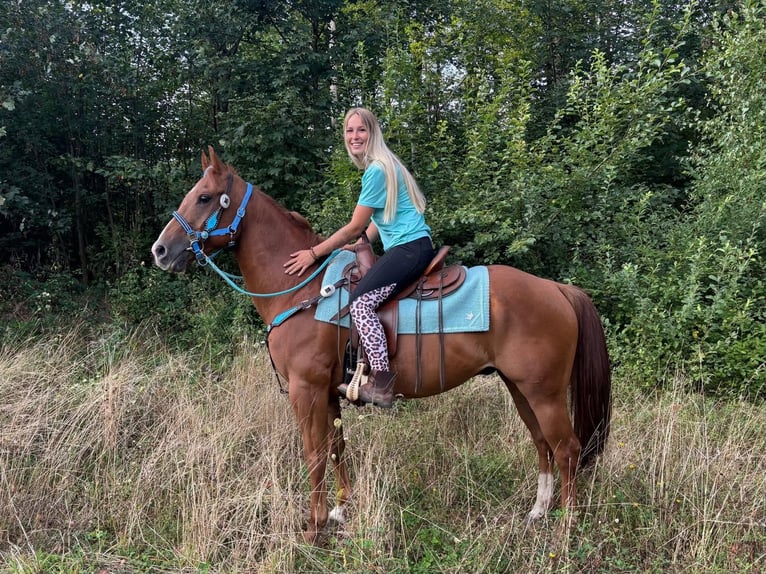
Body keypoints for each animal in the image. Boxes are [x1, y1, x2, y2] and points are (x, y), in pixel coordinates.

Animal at [151, 147, 612, 543]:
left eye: (204, 197)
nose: (160, 250)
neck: (300, 291)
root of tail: (557, 289)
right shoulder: (328, 392)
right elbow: (337, 448)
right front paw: (340, 511)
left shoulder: (305, 390)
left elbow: (314, 453)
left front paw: (313, 527)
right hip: (521, 388)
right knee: (542, 443)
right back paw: (539, 511)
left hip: (543, 392)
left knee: (567, 448)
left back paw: (566, 527)